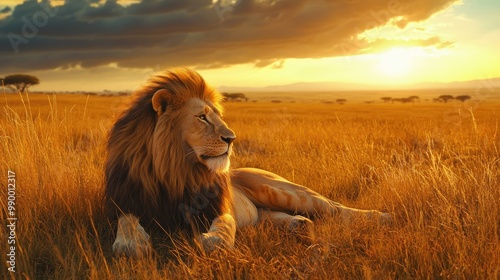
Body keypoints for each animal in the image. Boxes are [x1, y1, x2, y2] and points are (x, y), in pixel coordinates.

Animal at [105, 68, 392, 258]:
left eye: (217, 116)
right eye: (201, 117)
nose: (231, 138)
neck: (176, 169)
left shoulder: (218, 206)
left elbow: (224, 227)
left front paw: (211, 242)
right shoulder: (125, 202)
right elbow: (127, 223)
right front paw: (131, 245)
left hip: (285, 191)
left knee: (335, 208)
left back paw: (383, 217)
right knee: (271, 216)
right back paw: (299, 227)